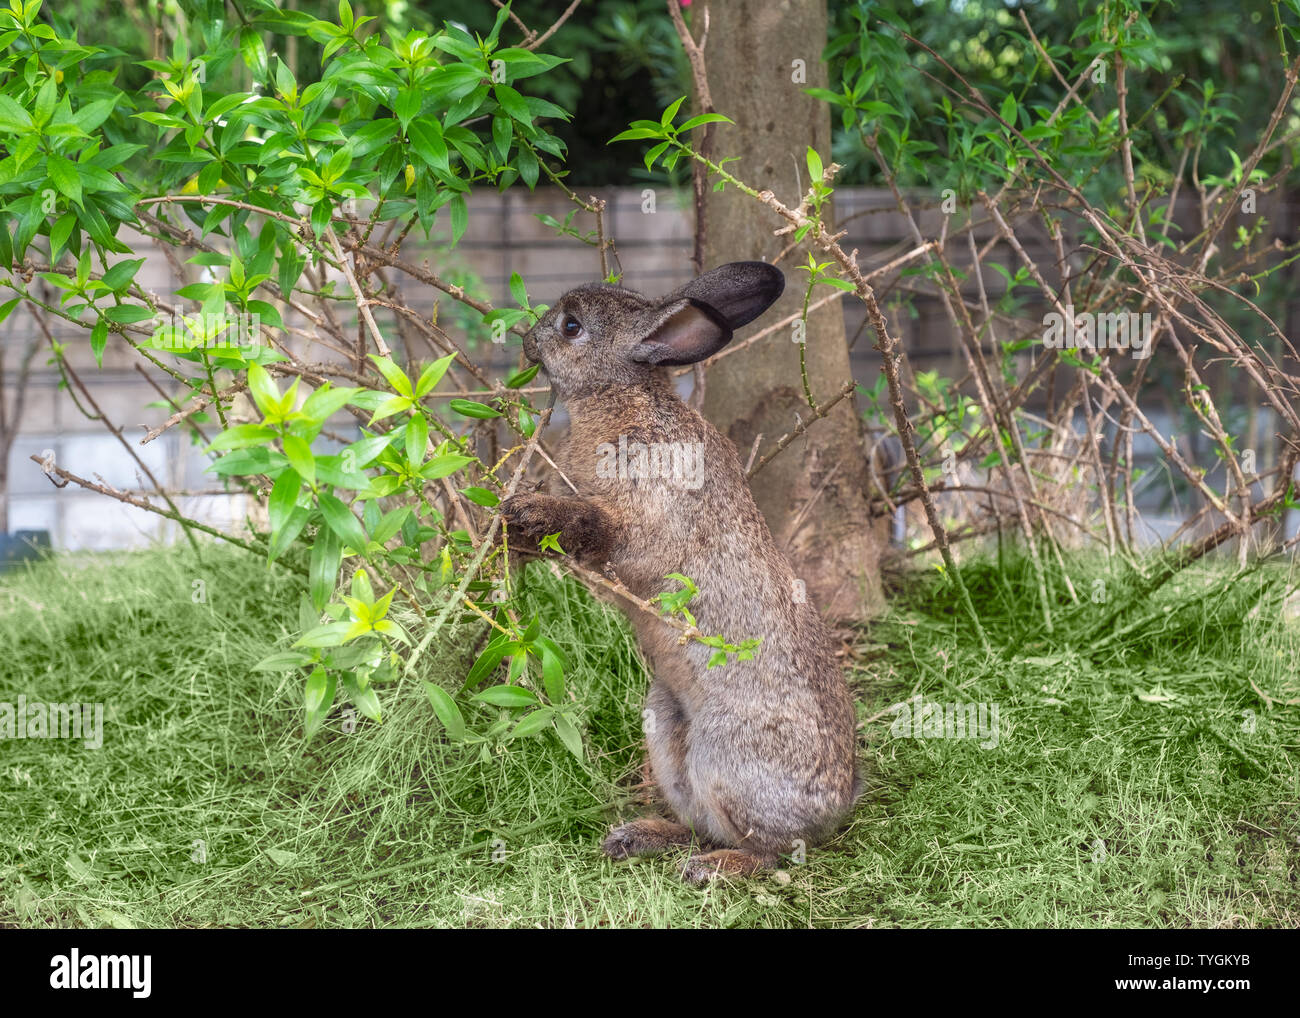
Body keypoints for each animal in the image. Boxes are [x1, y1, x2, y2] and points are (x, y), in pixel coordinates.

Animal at [499, 261, 860, 885]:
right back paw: (637, 837)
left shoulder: (640, 522)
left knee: (771, 852)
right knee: (697, 821)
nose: (527, 341)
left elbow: (595, 529)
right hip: (666, 729)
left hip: (727, 760)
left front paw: (527, 513)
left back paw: (711, 868)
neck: (623, 394)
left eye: (572, 327)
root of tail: (835, 811)